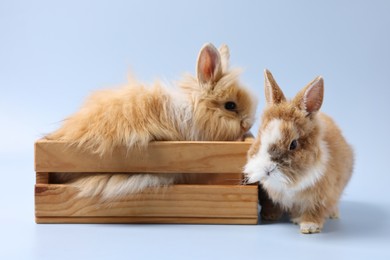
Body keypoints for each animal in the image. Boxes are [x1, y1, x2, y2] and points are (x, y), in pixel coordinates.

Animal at [244, 69, 354, 234]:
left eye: (293, 144)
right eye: (260, 137)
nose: (267, 170)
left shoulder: (321, 195)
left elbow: (315, 210)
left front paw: (309, 226)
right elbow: (273, 204)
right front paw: (270, 216)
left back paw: (333, 214)